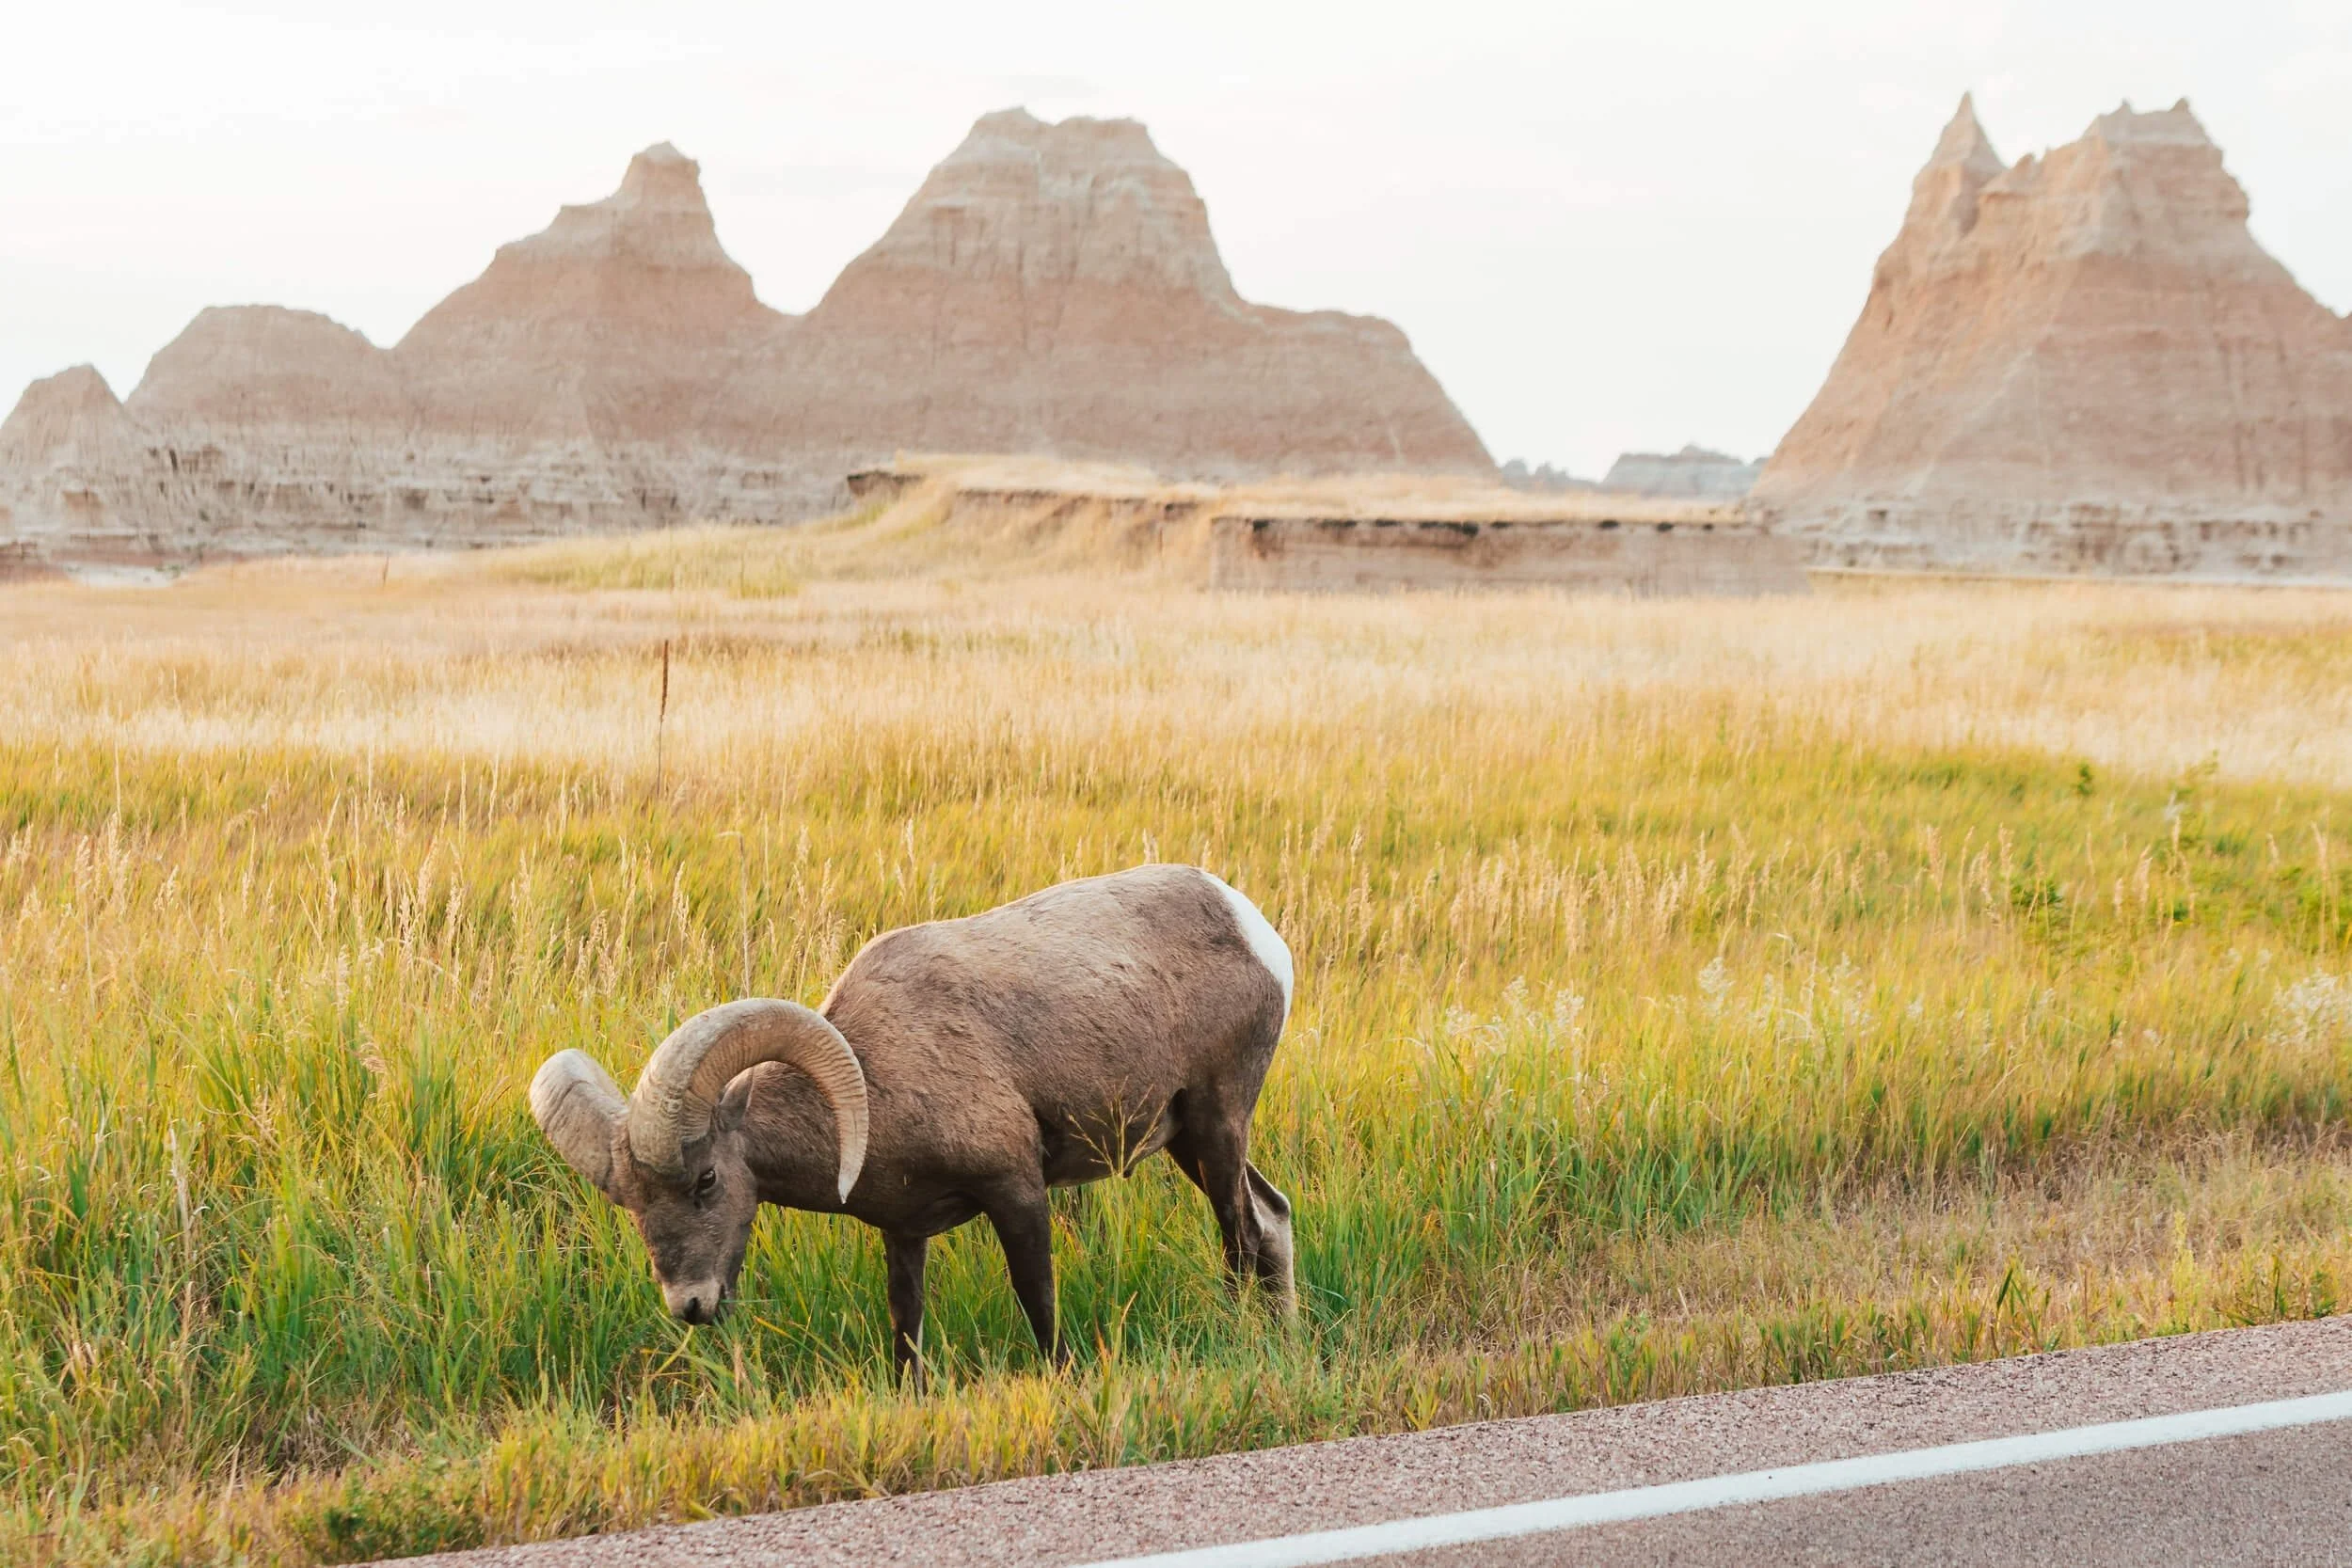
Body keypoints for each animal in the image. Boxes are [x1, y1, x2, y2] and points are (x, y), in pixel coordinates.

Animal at [529, 863, 1296, 1374]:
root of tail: (1255, 929)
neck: (878, 1078)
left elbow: (1038, 1299)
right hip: (1187, 1140)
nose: (691, 1305)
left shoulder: (1016, 1189)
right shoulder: (903, 1232)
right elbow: (906, 1326)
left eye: (707, 1180)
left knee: (1244, 1235)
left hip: (1218, 1121)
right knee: (1274, 1217)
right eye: (631, 1204)